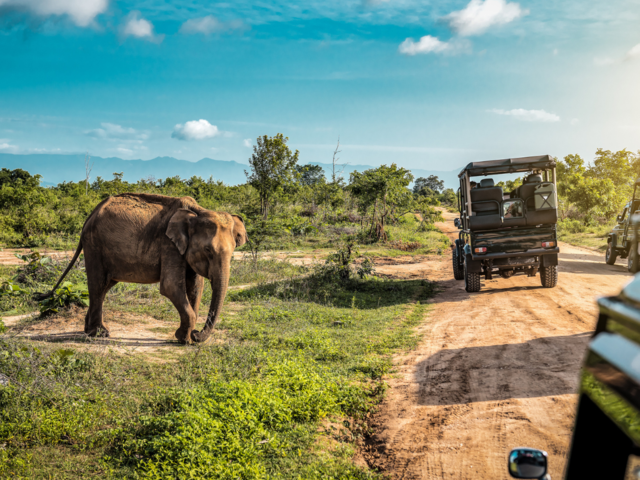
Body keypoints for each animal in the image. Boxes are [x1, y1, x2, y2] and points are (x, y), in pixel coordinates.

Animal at [42, 193, 248, 344]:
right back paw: (98, 334)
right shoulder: (169, 244)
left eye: (233, 251)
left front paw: (187, 338)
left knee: (105, 286)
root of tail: (89, 216)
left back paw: (91, 331)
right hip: (94, 245)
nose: (198, 334)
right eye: (208, 250)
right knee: (97, 284)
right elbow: (170, 286)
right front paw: (184, 339)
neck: (197, 212)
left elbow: (196, 287)